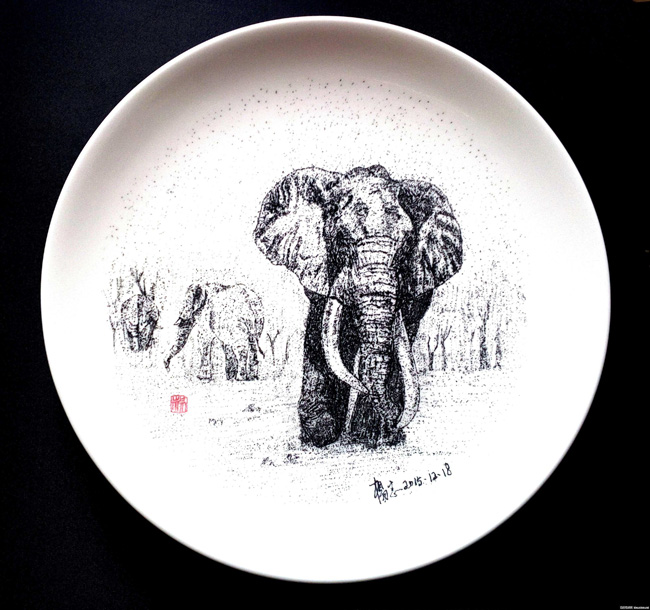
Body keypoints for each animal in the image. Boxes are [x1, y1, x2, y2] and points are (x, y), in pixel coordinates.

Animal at [254, 164, 462, 448]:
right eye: (341, 239)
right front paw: (319, 435)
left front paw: (375, 436)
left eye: (407, 244)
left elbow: (401, 337)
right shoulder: (318, 265)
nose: (396, 423)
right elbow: (323, 330)